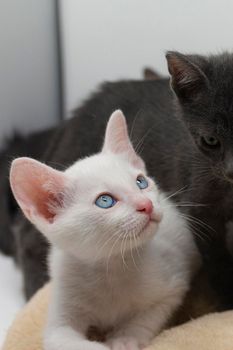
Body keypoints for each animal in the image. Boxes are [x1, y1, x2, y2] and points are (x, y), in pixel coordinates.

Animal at [10, 110, 199, 350]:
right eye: (105, 201)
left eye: (141, 182)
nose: (146, 204)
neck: (111, 267)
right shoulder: (61, 310)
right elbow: (60, 338)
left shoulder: (174, 282)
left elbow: (150, 315)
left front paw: (125, 338)